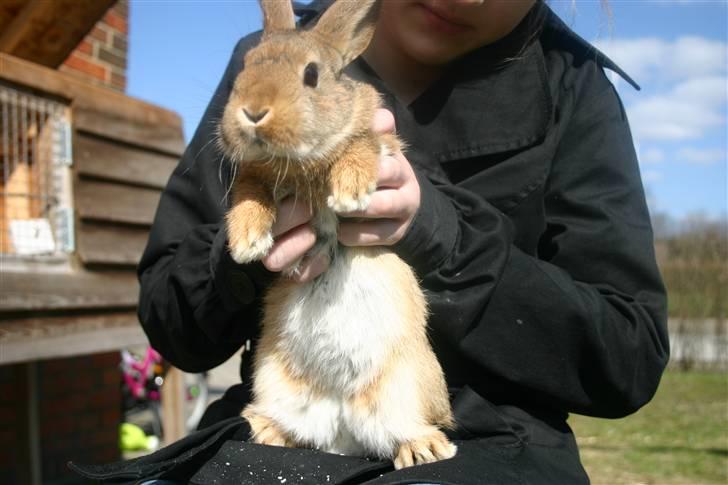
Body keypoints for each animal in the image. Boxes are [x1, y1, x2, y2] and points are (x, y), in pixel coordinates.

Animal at [216, 0, 456, 468]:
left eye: (311, 74)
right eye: (245, 68)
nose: (253, 112)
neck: (298, 164)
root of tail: (343, 435)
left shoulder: (378, 141)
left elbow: (361, 145)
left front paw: (350, 192)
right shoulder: (254, 176)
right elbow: (249, 192)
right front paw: (247, 241)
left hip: (408, 385)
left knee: (406, 428)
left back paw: (425, 449)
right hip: (274, 381)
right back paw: (264, 429)